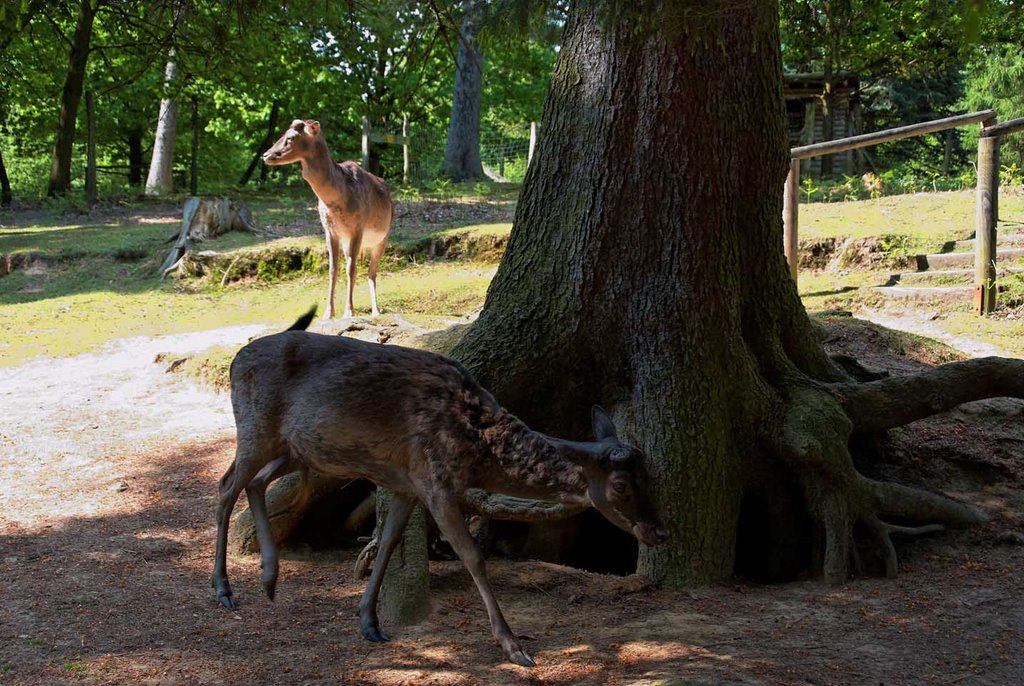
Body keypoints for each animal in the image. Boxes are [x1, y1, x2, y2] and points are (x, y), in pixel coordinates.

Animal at [211, 309, 667, 667]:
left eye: (650, 476)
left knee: (256, 482)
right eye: (621, 485)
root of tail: (235, 360)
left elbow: (389, 542)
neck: (477, 447)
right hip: (255, 427)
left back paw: (269, 577)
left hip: (297, 449)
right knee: (226, 486)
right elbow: (474, 557)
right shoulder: (436, 482)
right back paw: (224, 589)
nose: (658, 531)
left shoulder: (406, 485)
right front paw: (514, 646)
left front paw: (370, 623)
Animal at [262, 118, 393, 319]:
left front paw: (349, 312)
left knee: (372, 273)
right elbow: (333, 269)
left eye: (291, 137)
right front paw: (328, 313)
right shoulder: (330, 230)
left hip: (383, 238)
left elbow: (351, 269)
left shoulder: (358, 226)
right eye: (283, 133)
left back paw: (376, 311)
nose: (265, 155)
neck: (337, 200)